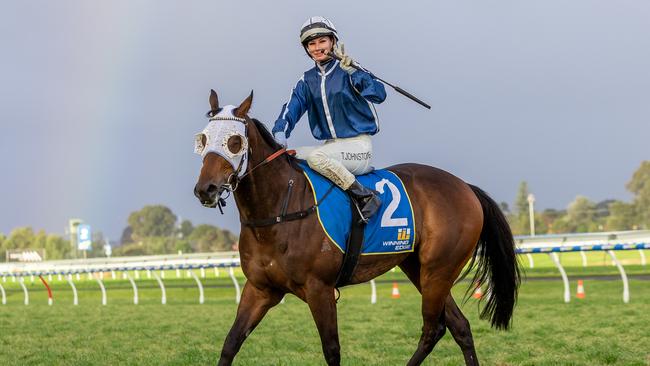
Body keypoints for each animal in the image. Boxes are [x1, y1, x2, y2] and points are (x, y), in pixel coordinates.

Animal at [191, 89, 516, 366]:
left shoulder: (319, 289)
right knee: (457, 327)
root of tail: (465, 187)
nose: (206, 189)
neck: (278, 211)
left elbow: (332, 350)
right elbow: (231, 342)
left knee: (431, 328)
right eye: (204, 140)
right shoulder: (260, 289)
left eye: (234, 142)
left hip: (439, 269)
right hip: (420, 268)